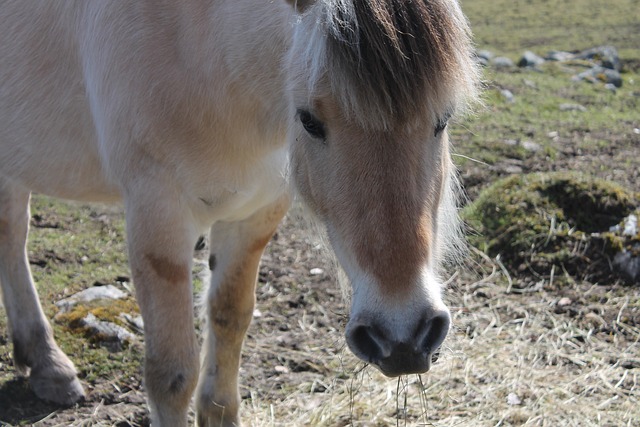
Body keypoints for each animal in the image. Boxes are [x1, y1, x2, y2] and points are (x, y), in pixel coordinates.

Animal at [0, 0, 478, 426]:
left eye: (443, 118)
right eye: (308, 120)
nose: (402, 338)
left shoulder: (257, 212)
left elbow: (229, 319)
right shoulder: (158, 216)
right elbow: (171, 374)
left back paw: (44, 362)